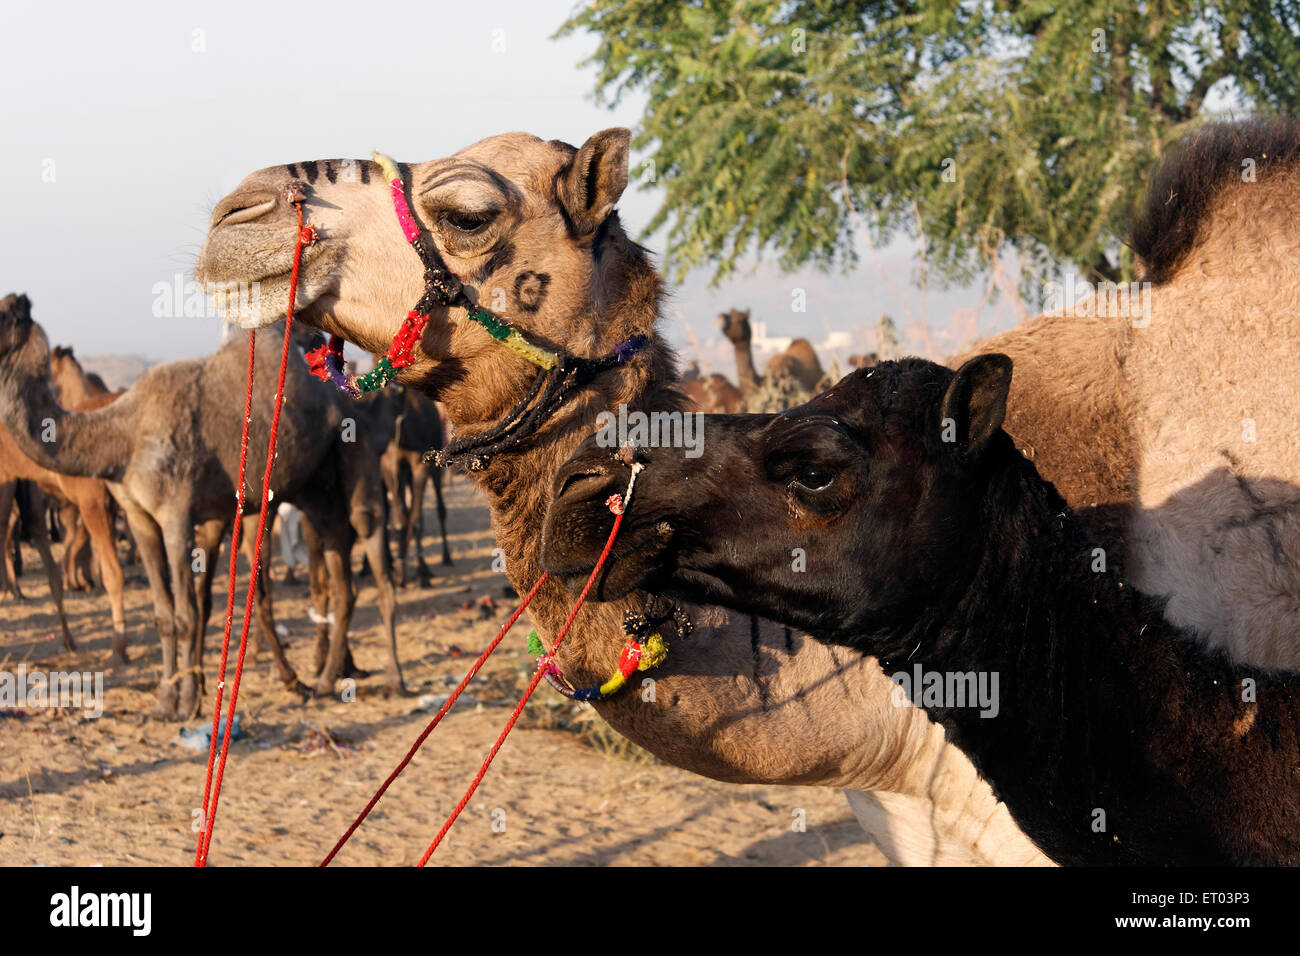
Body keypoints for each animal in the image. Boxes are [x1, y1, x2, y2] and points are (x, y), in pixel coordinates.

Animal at [0, 303, 400, 712]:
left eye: (2, 317)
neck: (123, 435)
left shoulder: (176, 513)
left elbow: (187, 613)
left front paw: (188, 700)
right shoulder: (139, 516)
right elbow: (166, 614)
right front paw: (165, 700)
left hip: (358, 459)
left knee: (372, 548)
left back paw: (390, 681)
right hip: (315, 492)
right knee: (342, 578)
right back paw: (325, 679)